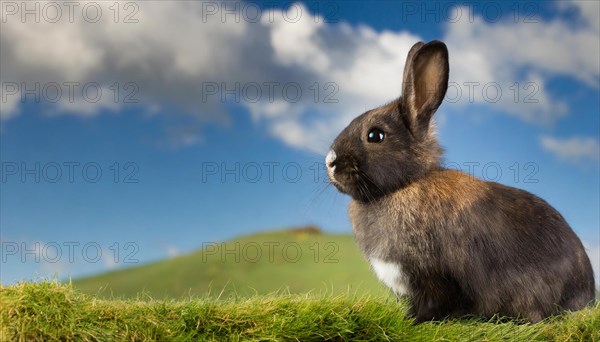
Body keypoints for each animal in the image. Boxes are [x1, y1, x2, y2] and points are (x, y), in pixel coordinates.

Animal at [328, 40, 596, 324]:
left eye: (375, 135)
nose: (330, 161)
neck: (405, 185)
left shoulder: (434, 278)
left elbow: (432, 304)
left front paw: (412, 320)